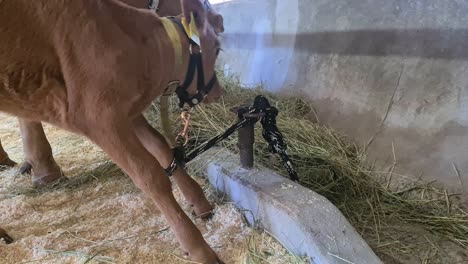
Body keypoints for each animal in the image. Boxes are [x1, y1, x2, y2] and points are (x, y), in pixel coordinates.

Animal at [0, 0, 225, 262]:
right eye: (217, 49)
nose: (219, 92)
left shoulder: (126, 111)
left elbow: (160, 146)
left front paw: (200, 203)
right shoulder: (98, 116)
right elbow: (150, 176)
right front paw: (200, 250)